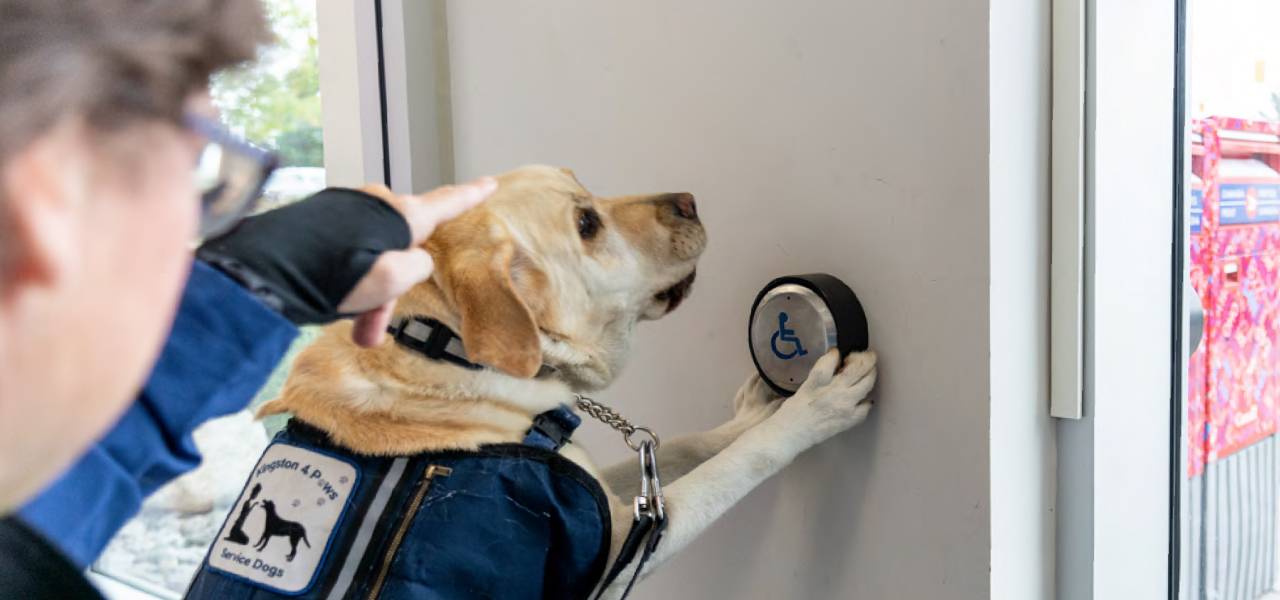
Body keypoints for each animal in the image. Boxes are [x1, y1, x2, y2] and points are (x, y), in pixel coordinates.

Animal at [185, 165, 875, 598]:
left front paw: (751, 415)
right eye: (586, 225)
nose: (689, 200)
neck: (450, 348)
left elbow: (682, 445)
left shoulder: (601, 484)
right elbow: (731, 470)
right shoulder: (624, 546)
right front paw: (810, 408)